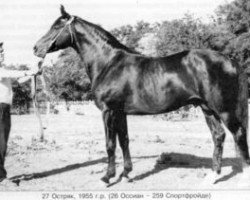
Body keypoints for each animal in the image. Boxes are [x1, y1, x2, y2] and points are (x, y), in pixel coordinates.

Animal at [33, 5, 250, 184]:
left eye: (56, 27)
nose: (36, 48)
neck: (109, 63)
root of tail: (229, 60)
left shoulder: (108, 111)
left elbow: (110, 144)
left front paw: (107, 177)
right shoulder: (120, 112)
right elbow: (124, 141)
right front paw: (126, 174)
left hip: (224, 109)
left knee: (238, 133)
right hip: (207, 108)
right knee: (219, 136)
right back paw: (213, 176)